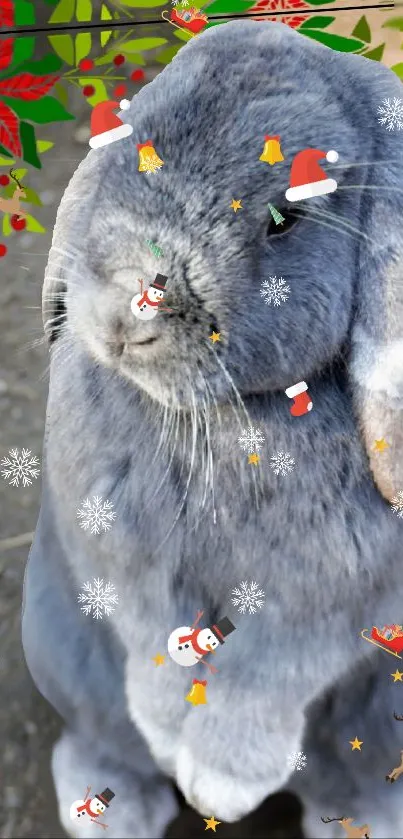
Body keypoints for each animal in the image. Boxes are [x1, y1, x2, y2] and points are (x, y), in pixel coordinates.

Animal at [21, 19, 403, 839]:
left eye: (283, 218)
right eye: (128, 149)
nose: (123, 314)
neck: (227, 418)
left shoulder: (335, 601)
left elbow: (269, 672)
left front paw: (222, 783)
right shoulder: (120, 557)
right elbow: (152, 640)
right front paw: (173, 739)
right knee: (98, 737)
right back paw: (112, 809)